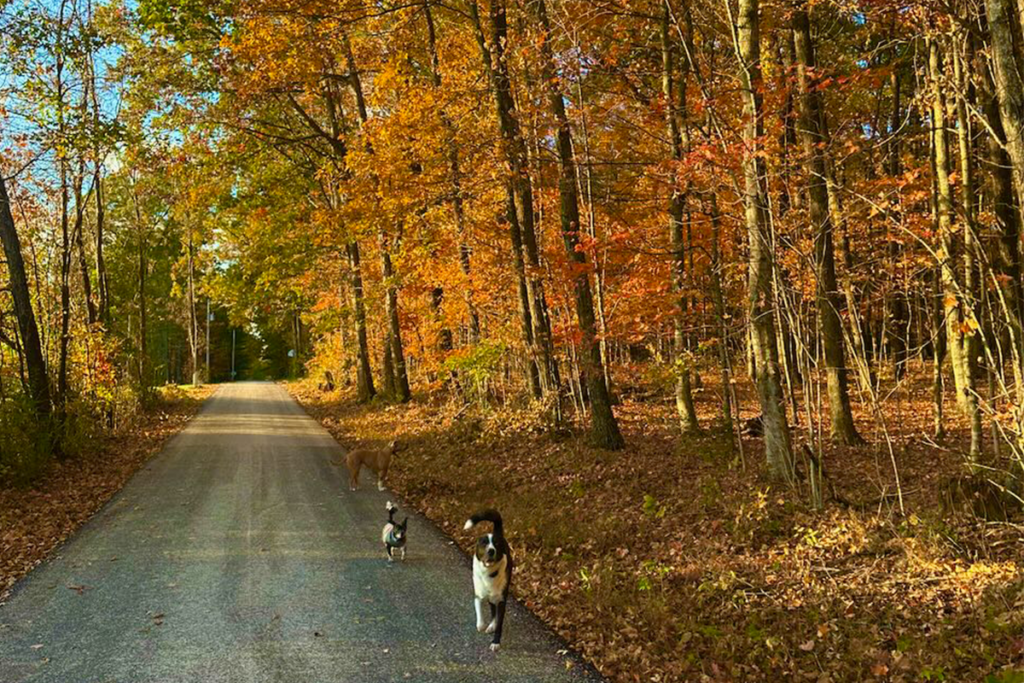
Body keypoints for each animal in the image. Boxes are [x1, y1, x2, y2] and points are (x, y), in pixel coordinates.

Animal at [464, 511, 512, 651]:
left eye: (496, 544)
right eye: (484, 543)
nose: (491, 550)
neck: (489, 573)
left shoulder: (501, 600)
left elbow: (499, 623)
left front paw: (496, 642)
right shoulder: (478, 594)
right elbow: (478, 607)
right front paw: (481, 625)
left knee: (494, 612)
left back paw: (492, 626)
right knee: (492, 610)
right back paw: (490, 625)